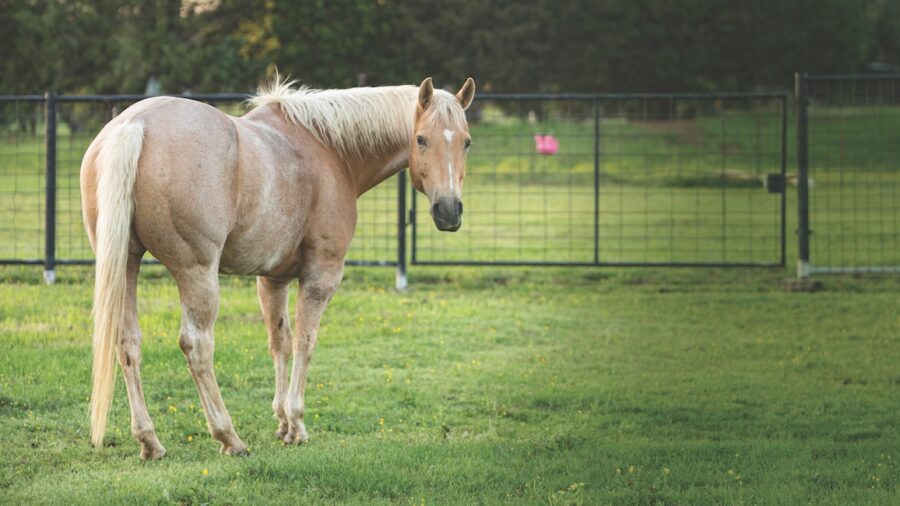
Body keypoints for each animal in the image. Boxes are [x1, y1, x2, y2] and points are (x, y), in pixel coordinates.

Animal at [80, 76, 476, 459]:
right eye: (421, 139)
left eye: (467, 143)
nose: (449, 211)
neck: (329, 150)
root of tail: (134, 126)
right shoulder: (321, 275)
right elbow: (305, 342)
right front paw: (297, 424)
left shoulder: (273, 278)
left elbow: (280, 343)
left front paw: (283, 423)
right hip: (197, 272)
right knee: (197, 346)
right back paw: (229, 436)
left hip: (127, 265)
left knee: (127, 342)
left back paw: (150, 442)